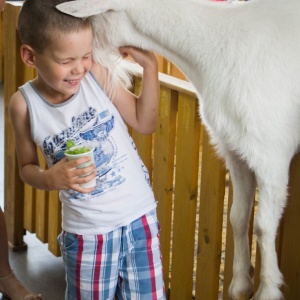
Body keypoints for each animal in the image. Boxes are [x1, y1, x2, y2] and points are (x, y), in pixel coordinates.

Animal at [56, 1, 300, 298]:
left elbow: (264, 226)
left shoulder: (271, 154)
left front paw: (267, 290)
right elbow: (238, 216)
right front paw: (241, 284)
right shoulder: (236, 151)